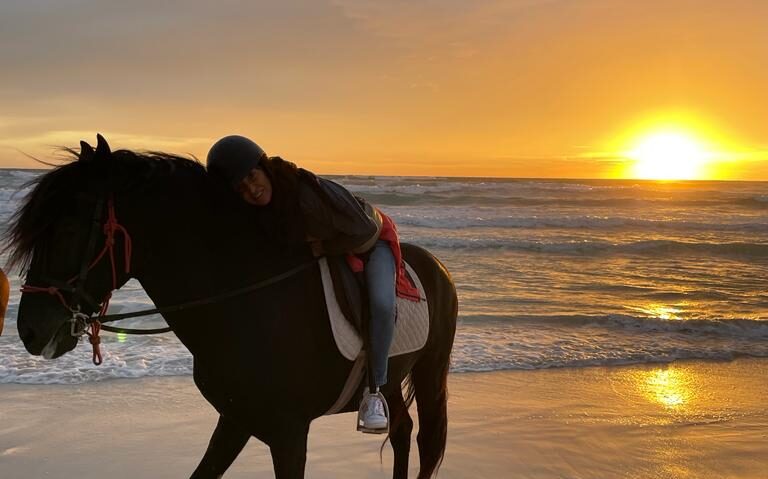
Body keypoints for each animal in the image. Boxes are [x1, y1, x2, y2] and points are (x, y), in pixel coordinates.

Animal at [4, 136, 456, 479]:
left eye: (67, 229)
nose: (29, 331)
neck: (246, 301)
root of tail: (436, 266)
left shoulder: (289, 433)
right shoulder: (236, 420)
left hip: (430, 367)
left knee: (424, 438)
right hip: (393, 375)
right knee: (402, 429)